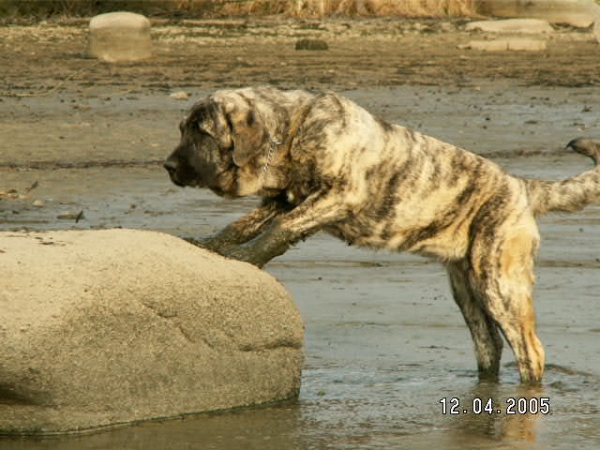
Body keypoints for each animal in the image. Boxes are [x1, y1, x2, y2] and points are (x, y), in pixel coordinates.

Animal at [164, 85, 600, 384]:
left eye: (201, 132)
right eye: (183, 128)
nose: (167, 165)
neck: (292, 133)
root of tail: (522, 186)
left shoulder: (337, 195)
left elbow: (279, 230)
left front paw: (246, 258)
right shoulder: (285, 200)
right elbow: (243, 224)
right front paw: (209, 245)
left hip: (498, 284)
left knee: (530, 350)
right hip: (467, 291)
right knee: (488, 345)